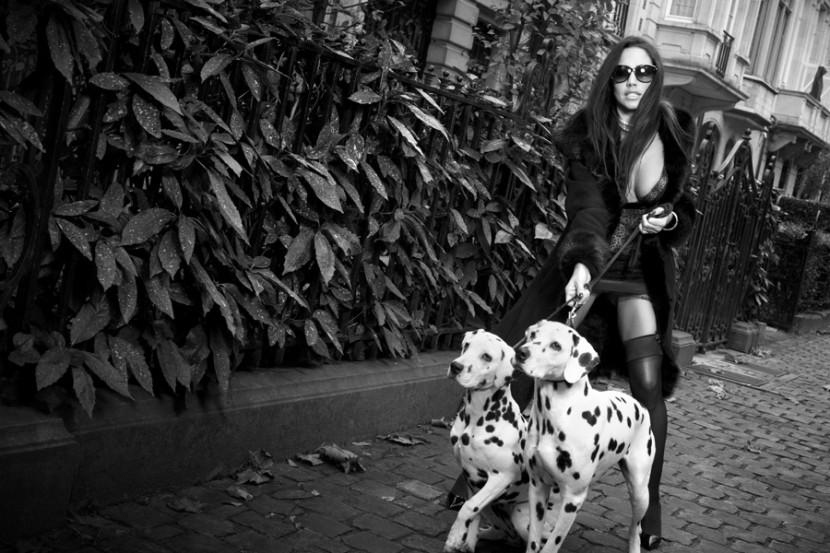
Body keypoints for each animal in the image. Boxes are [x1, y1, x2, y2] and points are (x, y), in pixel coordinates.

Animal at [446, 330, 556, 548]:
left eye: (487, 356)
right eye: (467, 346)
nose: (455, 366)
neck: (475, 419)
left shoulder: (503, 477)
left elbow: (468, 507)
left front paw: (455, 535)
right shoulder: (472, 480)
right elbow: (473, 511)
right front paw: (465, 540)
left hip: (523, 517)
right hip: (495, 509)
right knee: (504, 533)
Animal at [512, 320, 656, 552]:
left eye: (556, 345)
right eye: (533, 335)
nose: (521, 352)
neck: (554, 416)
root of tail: (640, 405)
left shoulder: (573, 499)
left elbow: (552, 545)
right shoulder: (538, 488)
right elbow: (534, 541)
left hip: (640, 492)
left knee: (636, 527)